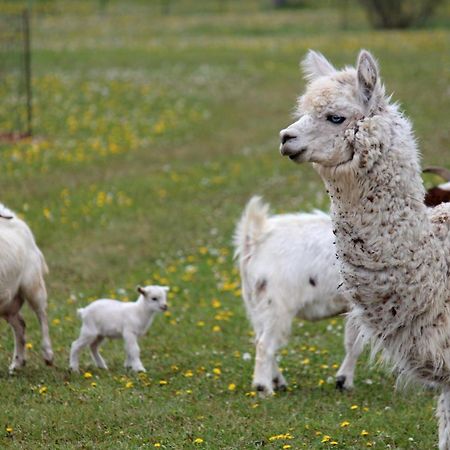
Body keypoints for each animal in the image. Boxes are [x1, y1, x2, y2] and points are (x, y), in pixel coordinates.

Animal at [234, 196, 364, 394]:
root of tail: (257, 237)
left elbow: (352, 342)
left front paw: (343, 381)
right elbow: (356, 344)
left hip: (255, 304)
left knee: (260, 340)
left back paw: (277, 381)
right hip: (276, 306)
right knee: (264, 344)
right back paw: (264, 388)